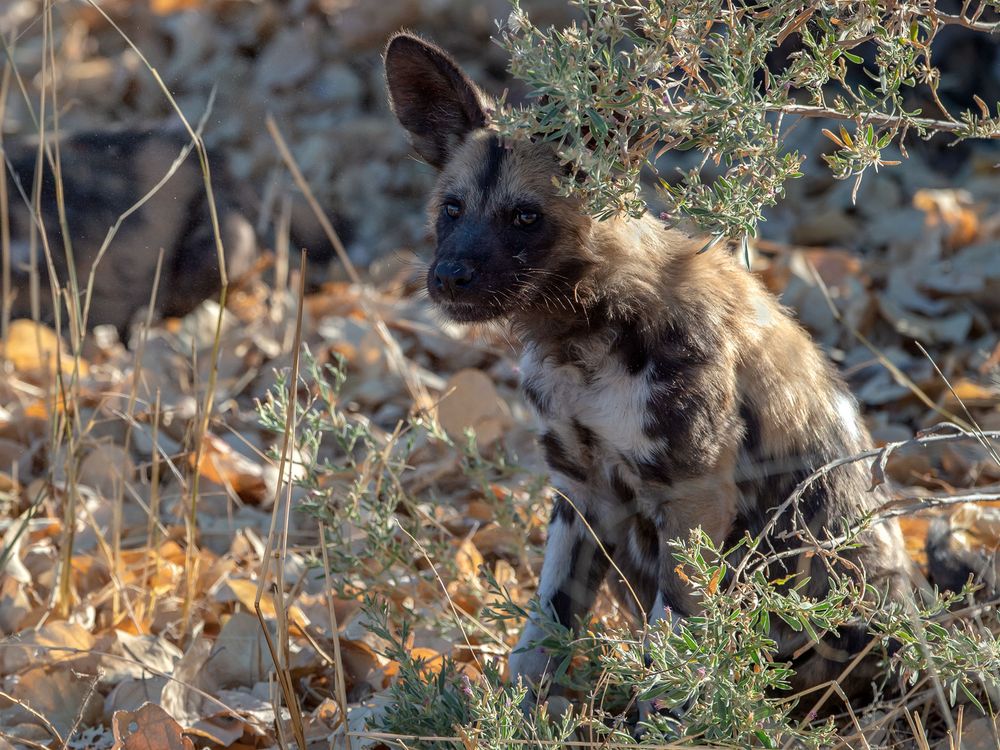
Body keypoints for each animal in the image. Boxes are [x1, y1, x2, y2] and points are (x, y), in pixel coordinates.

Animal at [384, 32, 920, 716]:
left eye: (525, 217)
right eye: (451, 209)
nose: (448, 277)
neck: (586, 335)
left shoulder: (692, 499)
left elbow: (670, 656)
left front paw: (661, 725)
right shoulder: (580, 494)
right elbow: (542, 635)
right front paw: (520, 718)